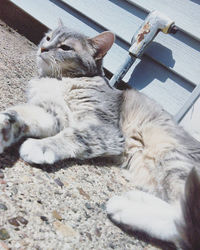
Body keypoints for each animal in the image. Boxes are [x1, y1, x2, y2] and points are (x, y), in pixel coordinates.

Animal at [0, 21, 199, 248]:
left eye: (65, 47)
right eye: (48, 38)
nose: (43, 48)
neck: (59, 80)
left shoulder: (106, 129)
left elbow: (74, 135)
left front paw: (41, 146)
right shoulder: (51, 113)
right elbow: (20, 114)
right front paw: (5, 126)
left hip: (173, 158)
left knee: (182, 219)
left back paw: (124, 207)